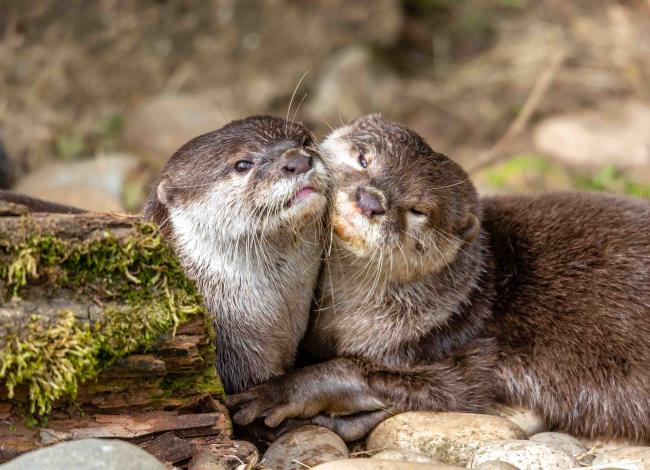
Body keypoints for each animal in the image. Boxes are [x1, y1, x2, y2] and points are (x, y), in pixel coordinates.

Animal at [227, 114, 648, 444]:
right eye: (363, 159)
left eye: (419, 210)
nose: (370, 200)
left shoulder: (453, 348)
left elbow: (379, 375)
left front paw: (281, 391)